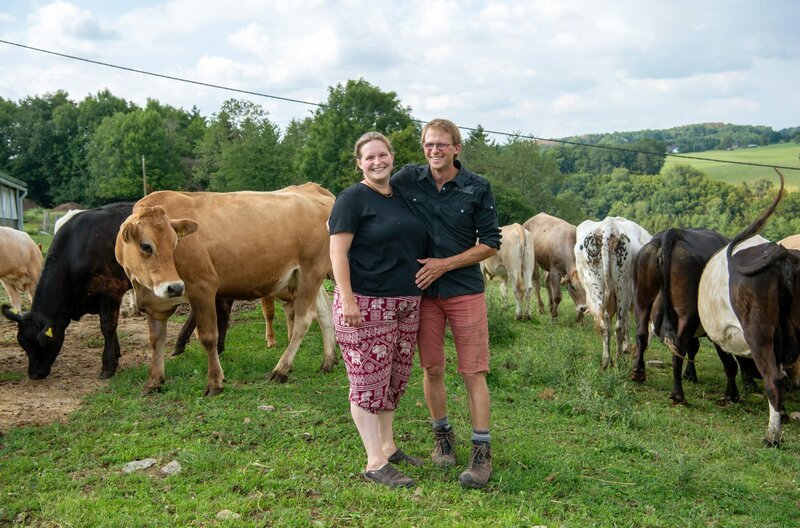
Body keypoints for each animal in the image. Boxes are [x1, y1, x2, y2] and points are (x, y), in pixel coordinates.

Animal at [115, 184, 334, 394]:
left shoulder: (203, 287)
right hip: (310, 276)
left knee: (304, 319)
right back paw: (328, 362)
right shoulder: (155, 303)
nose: (175, 287)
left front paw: (215, 383)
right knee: (325, 312)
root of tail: (312, 189)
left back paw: (282, 369)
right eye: (146, 246)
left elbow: (208, 337)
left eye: (175, 243)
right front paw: (154, 382)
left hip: (311, 271)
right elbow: (156, 340)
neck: (144, 289)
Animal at [576, 217, 648, 370]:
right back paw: (617, 360)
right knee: (619, 325)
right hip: (624, 287)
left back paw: (607, 361)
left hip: (595, 286)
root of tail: (608, 227)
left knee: (607, 324)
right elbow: (627, 323)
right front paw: (627, 348)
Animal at [632, 227, 732, 396]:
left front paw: (690, 374)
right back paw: (678, 394)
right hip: (686, 314)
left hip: (642, 301)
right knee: (679, 348)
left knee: (642, 335)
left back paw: (638, 372)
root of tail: (673, 232)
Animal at [696, 170, 796, 446]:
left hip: (758, 332)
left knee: (772, 377)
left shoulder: (718, 336)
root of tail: (777, 253)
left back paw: (773, 435)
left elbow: (729, 364)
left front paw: (731, 395)